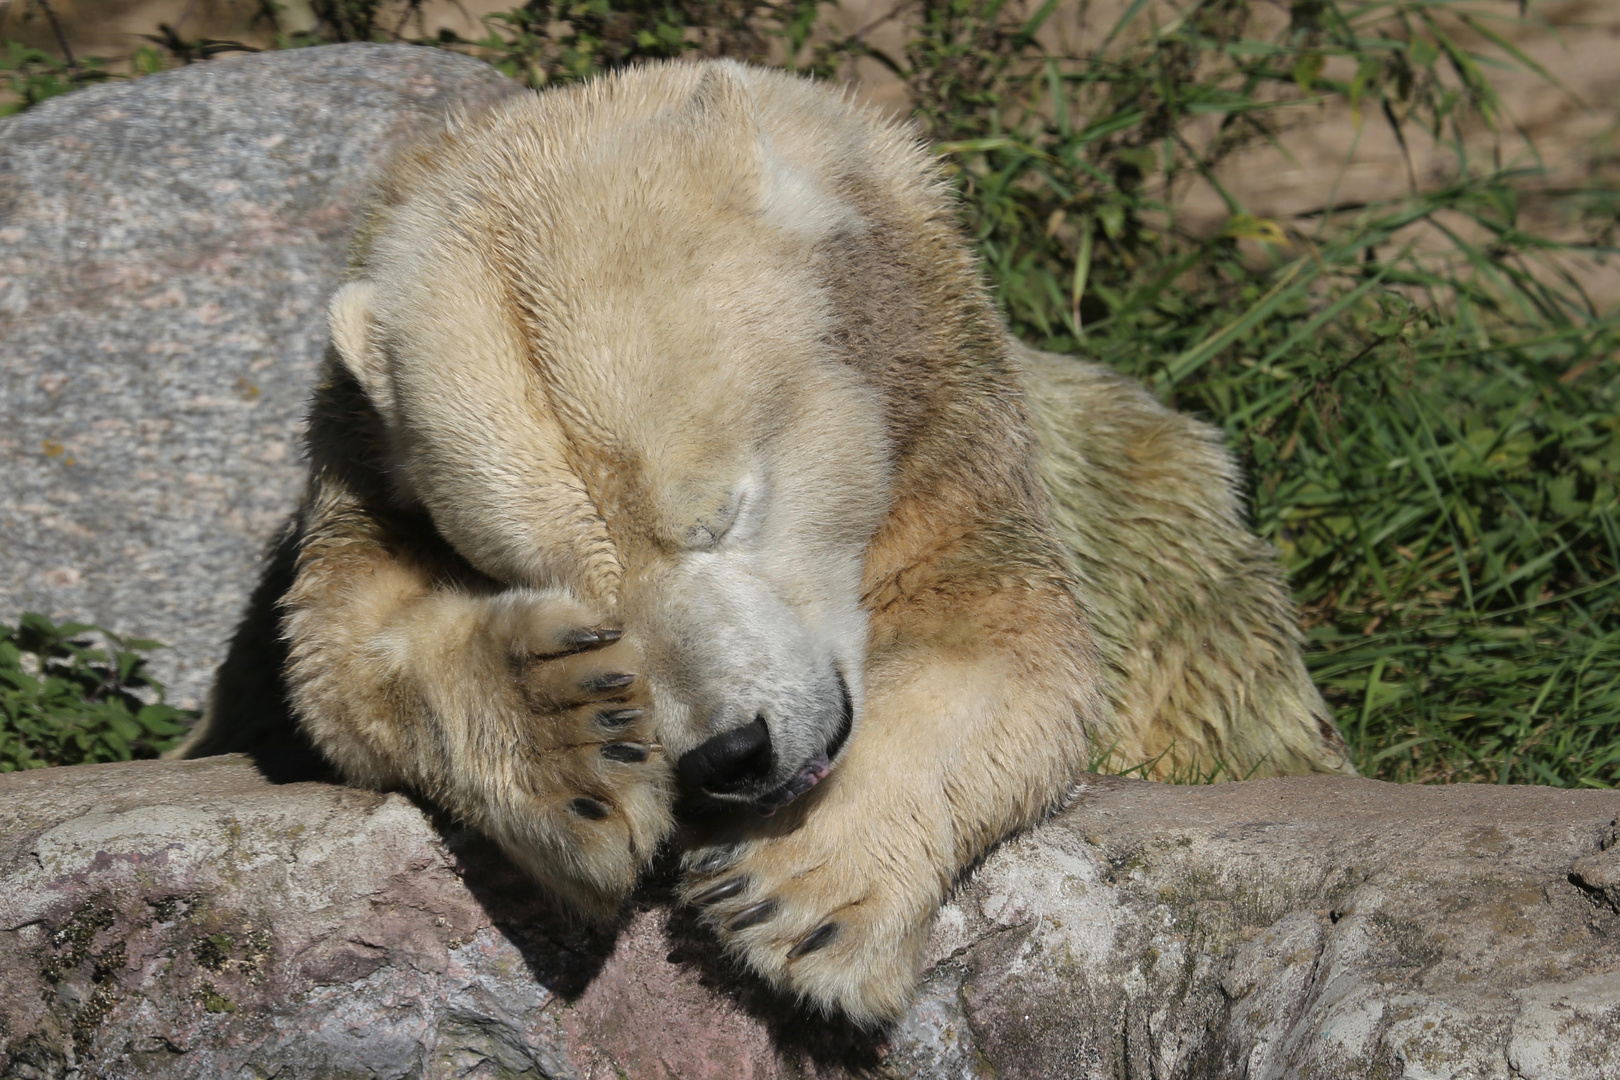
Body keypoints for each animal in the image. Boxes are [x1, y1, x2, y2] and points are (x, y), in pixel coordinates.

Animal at [180, 59, 1354, 1023]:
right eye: (528, 569)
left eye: (725, 511)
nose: (729, 757)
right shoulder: (353, 461)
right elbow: (339, 649)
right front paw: (567, 726)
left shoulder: (951, 417)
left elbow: (1007, 635)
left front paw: (793, 894)